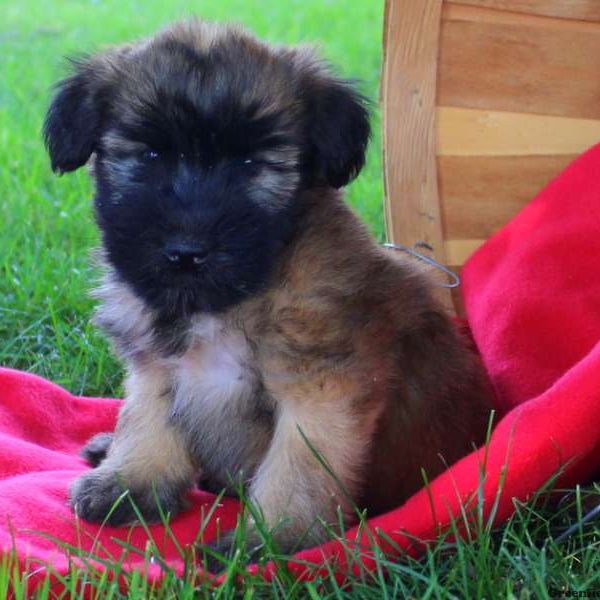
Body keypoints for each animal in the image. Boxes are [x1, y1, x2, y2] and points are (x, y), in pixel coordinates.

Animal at [42, 19, 492, 568]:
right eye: (150, 155)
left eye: (250, 163)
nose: (186, 252)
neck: (230, 300)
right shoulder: (158, 363)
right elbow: (146, 418)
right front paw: (131, 481)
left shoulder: (321, 387)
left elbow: (298, 470)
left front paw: (271, 541)